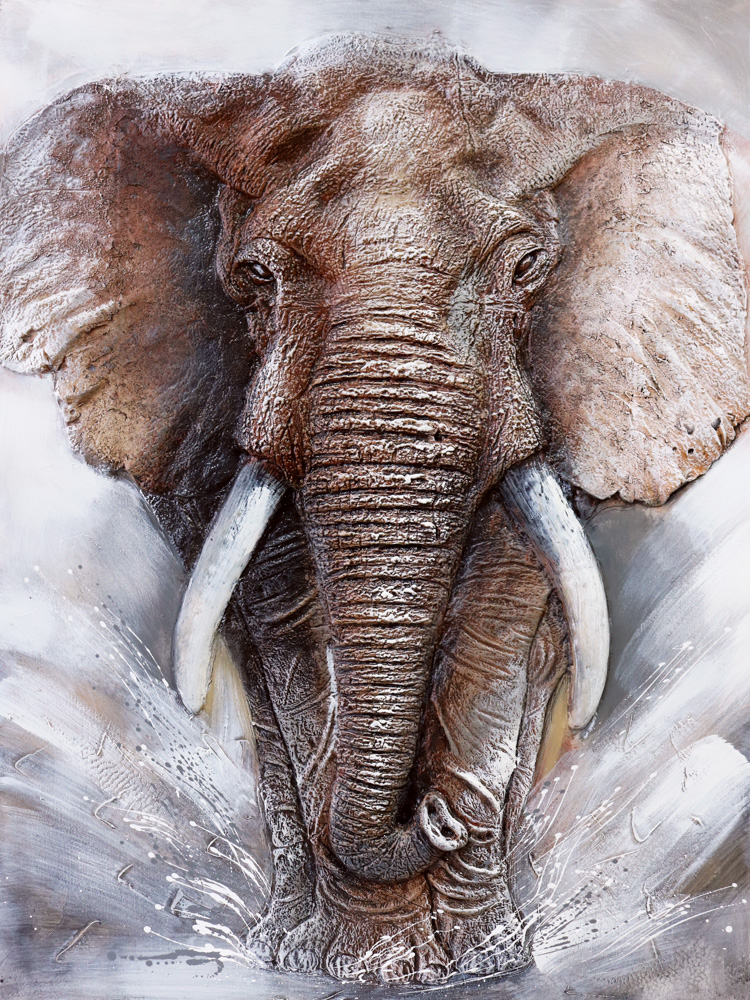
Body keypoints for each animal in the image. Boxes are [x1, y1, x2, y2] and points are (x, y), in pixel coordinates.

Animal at [2, 33, 750, 985]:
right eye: (254, 277)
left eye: (525, 269)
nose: (437, 814)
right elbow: (289, 623)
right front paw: (374, 965)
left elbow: (496, 617)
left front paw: (480, 962)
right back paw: (287, 943)